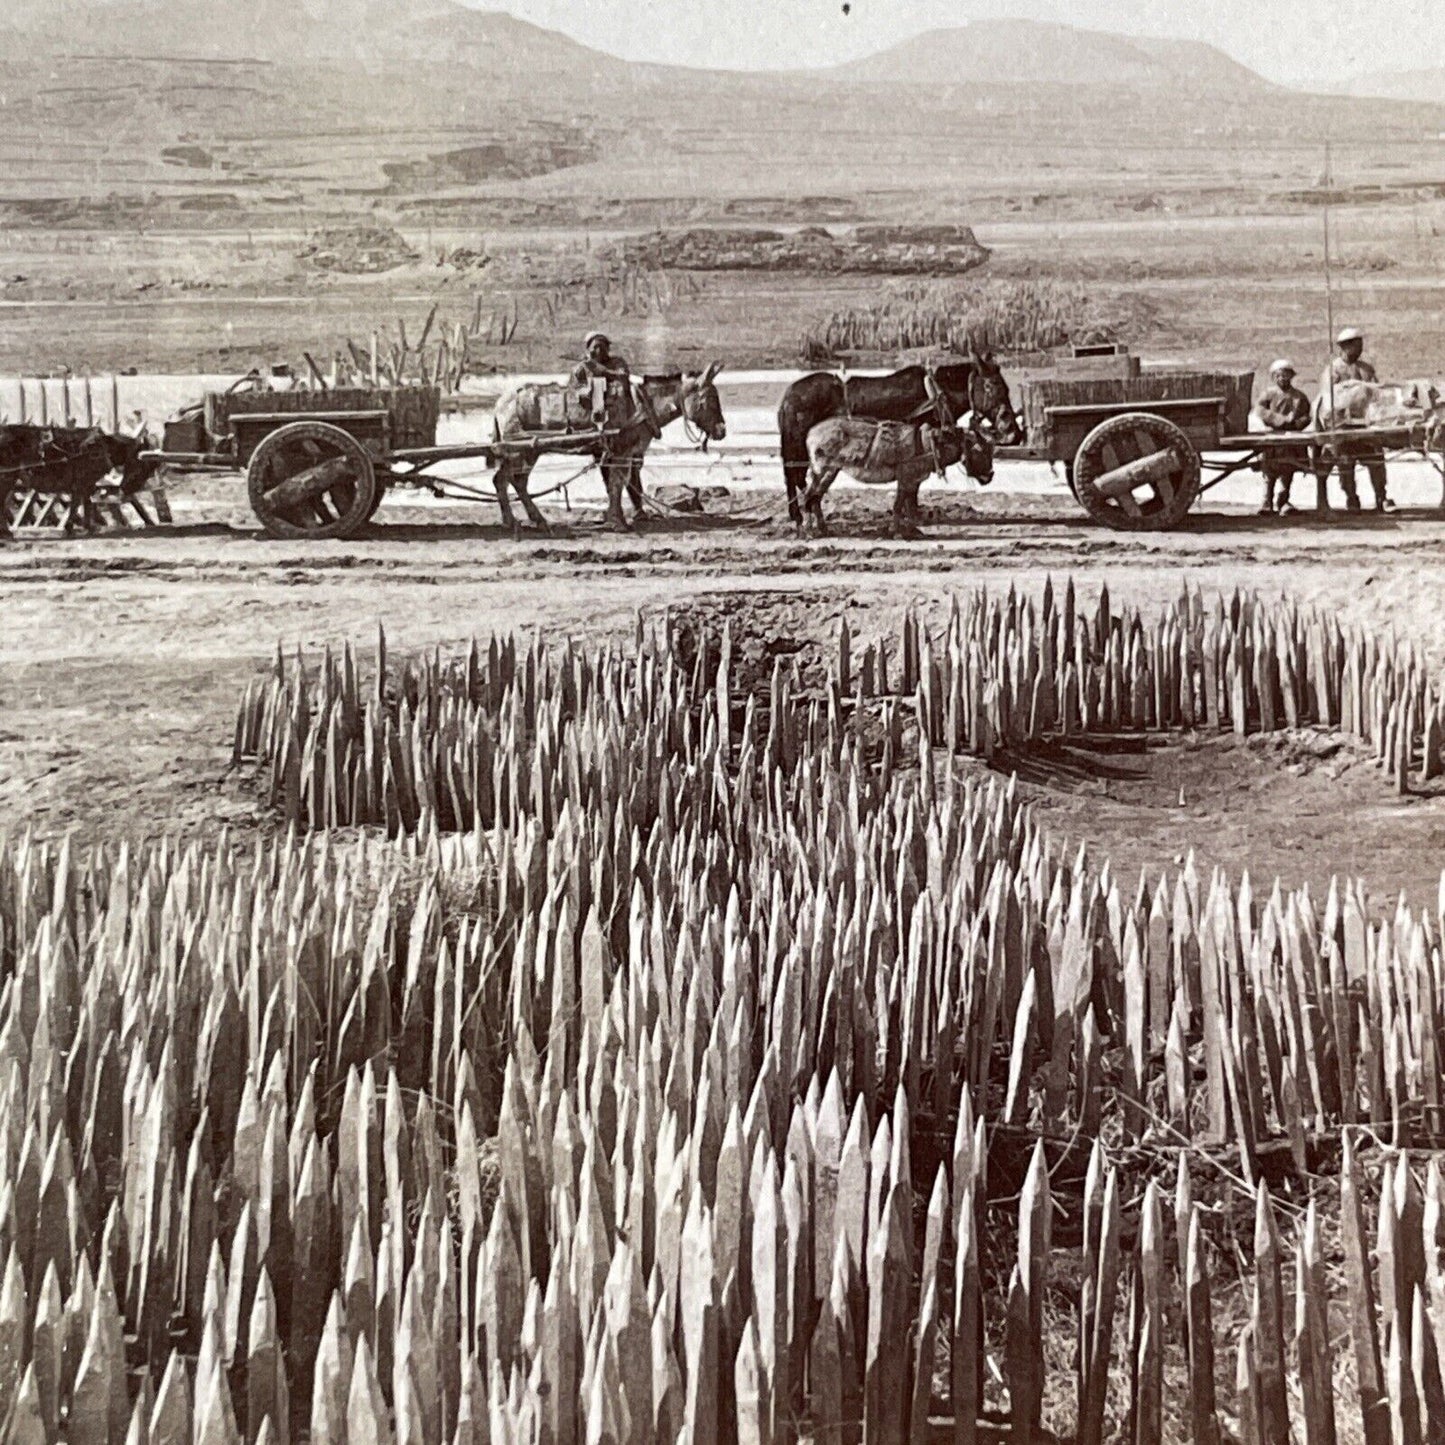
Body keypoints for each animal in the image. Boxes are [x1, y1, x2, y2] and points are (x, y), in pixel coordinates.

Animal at [491, 364, 728, 534]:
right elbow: (617, 484)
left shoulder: (623, 453)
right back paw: (520, 521)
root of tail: (501, 402)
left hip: (525, 452)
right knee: (508, 480)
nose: (722, 431)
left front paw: (617, 518)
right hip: (522, 451)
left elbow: (618, 484)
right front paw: (619, 523)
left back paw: (524, 521)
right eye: (710, 398)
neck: (642, 405)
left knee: (509, 481)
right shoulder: (622, 452)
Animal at [774, 354, 1023, 525]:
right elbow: (914, 484)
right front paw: (913, 515)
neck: (935, 395)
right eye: (991, 386)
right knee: (797, 478)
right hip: (800, 448)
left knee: (796, 478)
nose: (1014, 431)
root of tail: (787, 396)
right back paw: (803, 516)